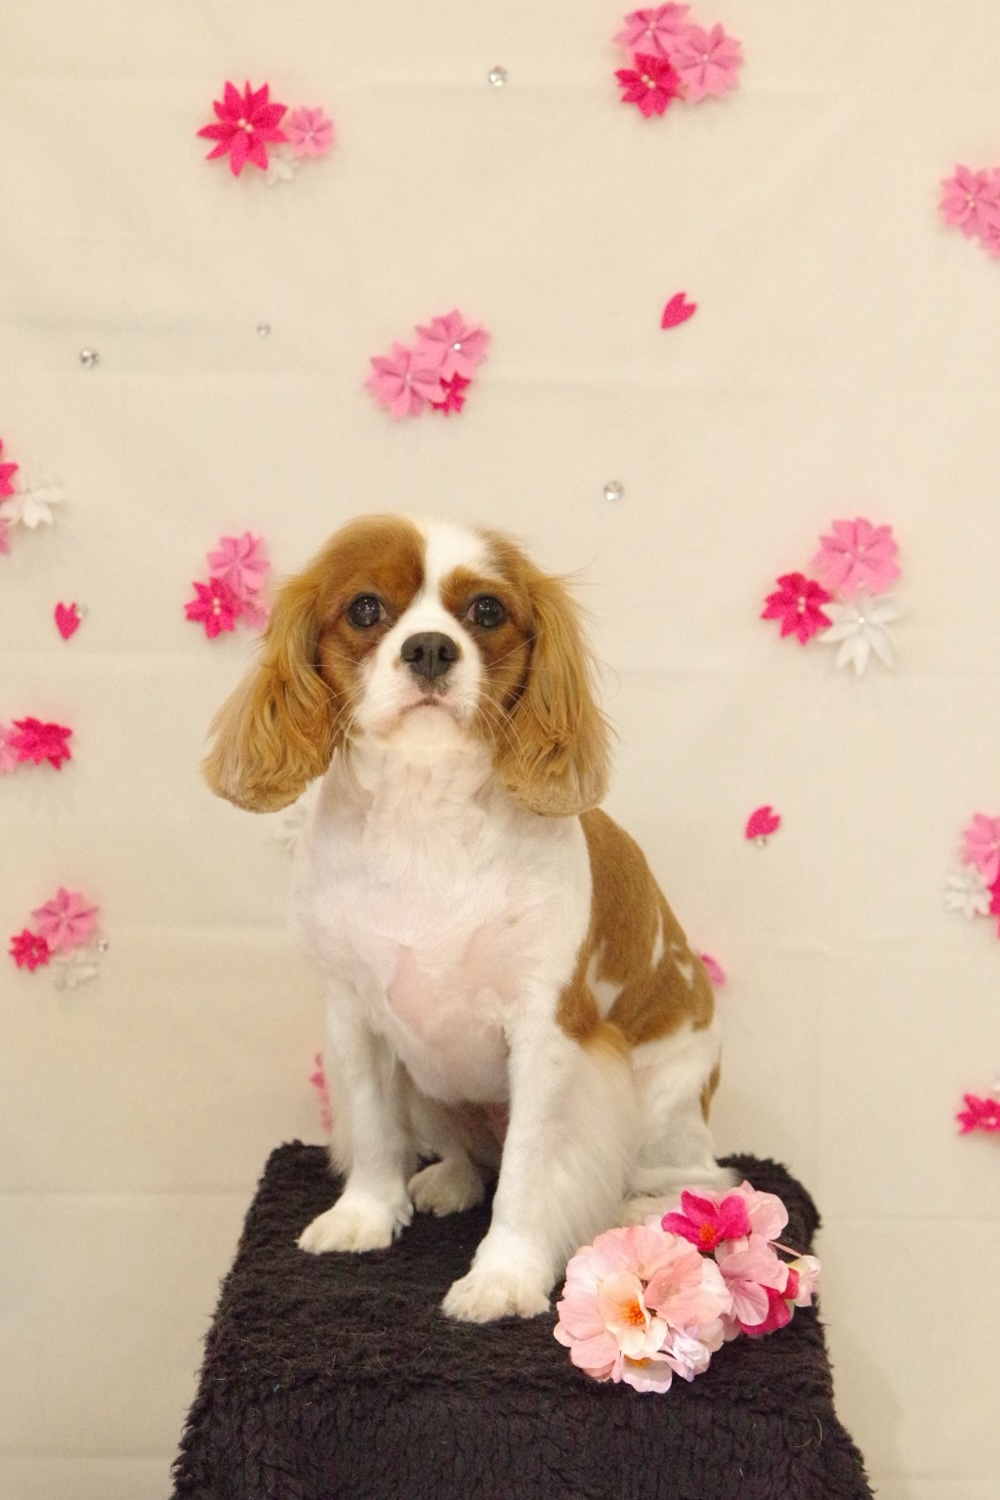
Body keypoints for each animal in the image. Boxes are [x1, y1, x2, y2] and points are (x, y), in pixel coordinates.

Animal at [203, 514, 729, 1323]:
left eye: (486, 611)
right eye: (365, 609)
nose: (429, 647)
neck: (425, 813)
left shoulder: (549, 1033)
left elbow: (529, 1174)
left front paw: (505, 1275)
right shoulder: (352, 1012)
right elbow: (375, 1129)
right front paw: (365, 1215)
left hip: (665, 1107)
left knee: (700, 1182)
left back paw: (638, 1211)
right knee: (466, 1152)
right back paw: (449, 1177)